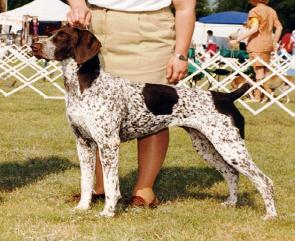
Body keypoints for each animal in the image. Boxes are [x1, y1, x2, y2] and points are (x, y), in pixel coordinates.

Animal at [31, 25, 278, 218]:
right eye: (51, 33)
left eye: (62, 36)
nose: (34, 44)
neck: (84, 87)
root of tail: (225, 96)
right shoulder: (84, 143)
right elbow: (86, 182)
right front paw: (82, 208)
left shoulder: (108, 145)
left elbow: (111, 186)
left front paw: (108, 213)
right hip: (208, 145)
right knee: (231, 173)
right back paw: (231, 203)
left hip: (231, 147)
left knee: (264, 180)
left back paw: (270, 215)